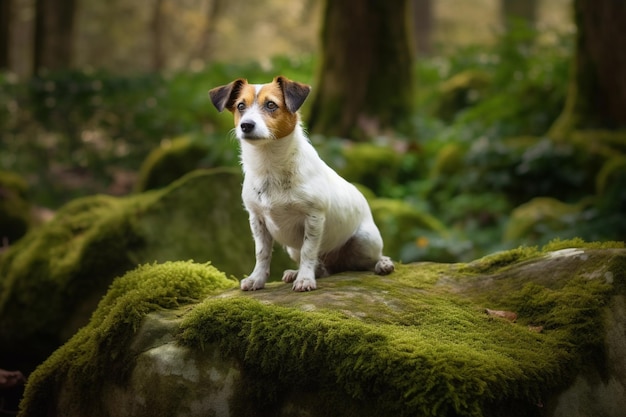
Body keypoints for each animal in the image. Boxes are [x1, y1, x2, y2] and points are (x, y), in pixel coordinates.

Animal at [210, 75, 394, 290]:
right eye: (240, 106)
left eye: (271, 105)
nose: (246, 125)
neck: (269, 166)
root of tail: (338, 265)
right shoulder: (257, 220)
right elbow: (262, 253)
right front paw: (257, 279)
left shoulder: (313, 217)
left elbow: (308, 250)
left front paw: (305, 279)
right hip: (294, 249)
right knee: (321, 266)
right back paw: (300, 272)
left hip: (365, 241)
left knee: (370, 260)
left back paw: (383, 264)